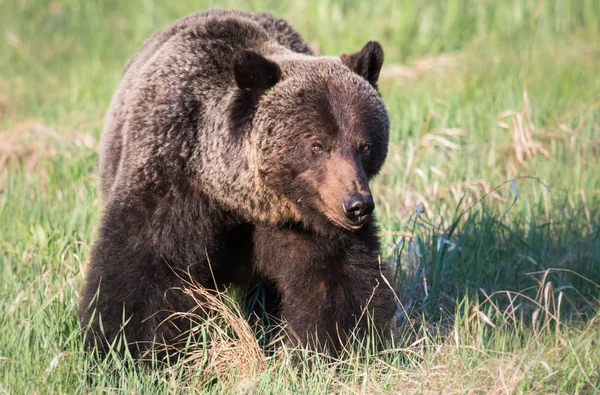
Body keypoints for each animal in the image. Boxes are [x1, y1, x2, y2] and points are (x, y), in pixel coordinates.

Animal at [79, 9, 398, 358]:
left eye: (364, 145)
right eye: (316, 145)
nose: (357, 205)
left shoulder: (307, 221)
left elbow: (336, 278)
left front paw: (340, 345)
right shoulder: (170, 179)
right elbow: (143, 270)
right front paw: (124, 346)